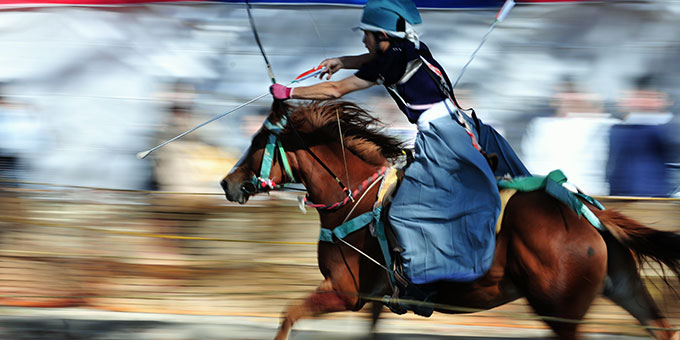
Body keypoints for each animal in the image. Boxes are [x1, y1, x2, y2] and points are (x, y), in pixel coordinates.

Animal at [220, 99, 676, 338]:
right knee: (662, 327)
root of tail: (581, 210)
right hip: (624, 288)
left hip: (560, 311)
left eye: (259, 142)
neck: (356, 201)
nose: (228, 183)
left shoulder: (345, 292)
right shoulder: (376, 301)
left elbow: (288, 314)